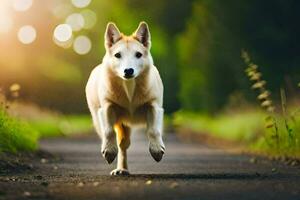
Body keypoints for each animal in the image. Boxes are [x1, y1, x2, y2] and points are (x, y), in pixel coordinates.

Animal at [85, 21, 165, 175]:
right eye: (118, 55)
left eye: (138, 54)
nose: (128, 71)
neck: (129, 89)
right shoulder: (107, 107)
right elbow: (109, 131)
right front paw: (109, 151)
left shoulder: (154, 106)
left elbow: (153, 130)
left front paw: (156, 149)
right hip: (106, 122)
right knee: (121, 144)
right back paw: (121, 168)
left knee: (124, 144)